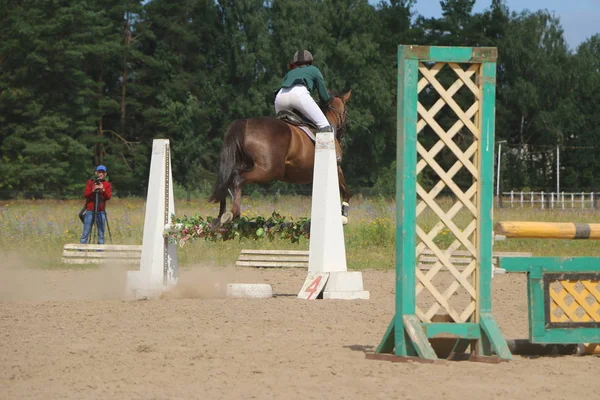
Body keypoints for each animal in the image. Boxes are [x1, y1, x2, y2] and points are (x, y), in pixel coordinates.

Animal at [210, 89, 352, 223]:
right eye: (346, 112)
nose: (343, 136)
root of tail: (245, 123)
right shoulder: (335, 167)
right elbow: (346, 190)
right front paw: (343, 217)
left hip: (245, 164)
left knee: (227, 180)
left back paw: (220, 216)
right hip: (269, 170)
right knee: (239, 179)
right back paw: (233, 213)